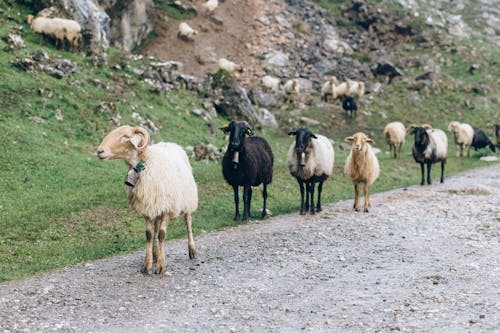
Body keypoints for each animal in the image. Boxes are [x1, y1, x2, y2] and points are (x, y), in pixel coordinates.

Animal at [96, 126, 198, 274]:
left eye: (125, 136)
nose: (100, 151)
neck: (145, 163)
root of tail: (169, 143)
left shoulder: (167, 208)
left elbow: (161, 234)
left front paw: (161, 266)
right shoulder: (147, 207)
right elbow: (149, 234)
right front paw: (147, 264)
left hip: (186, 200)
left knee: (188, 222)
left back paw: (192, 250)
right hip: (156, 206)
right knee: (156, 228)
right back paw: (155, 253)